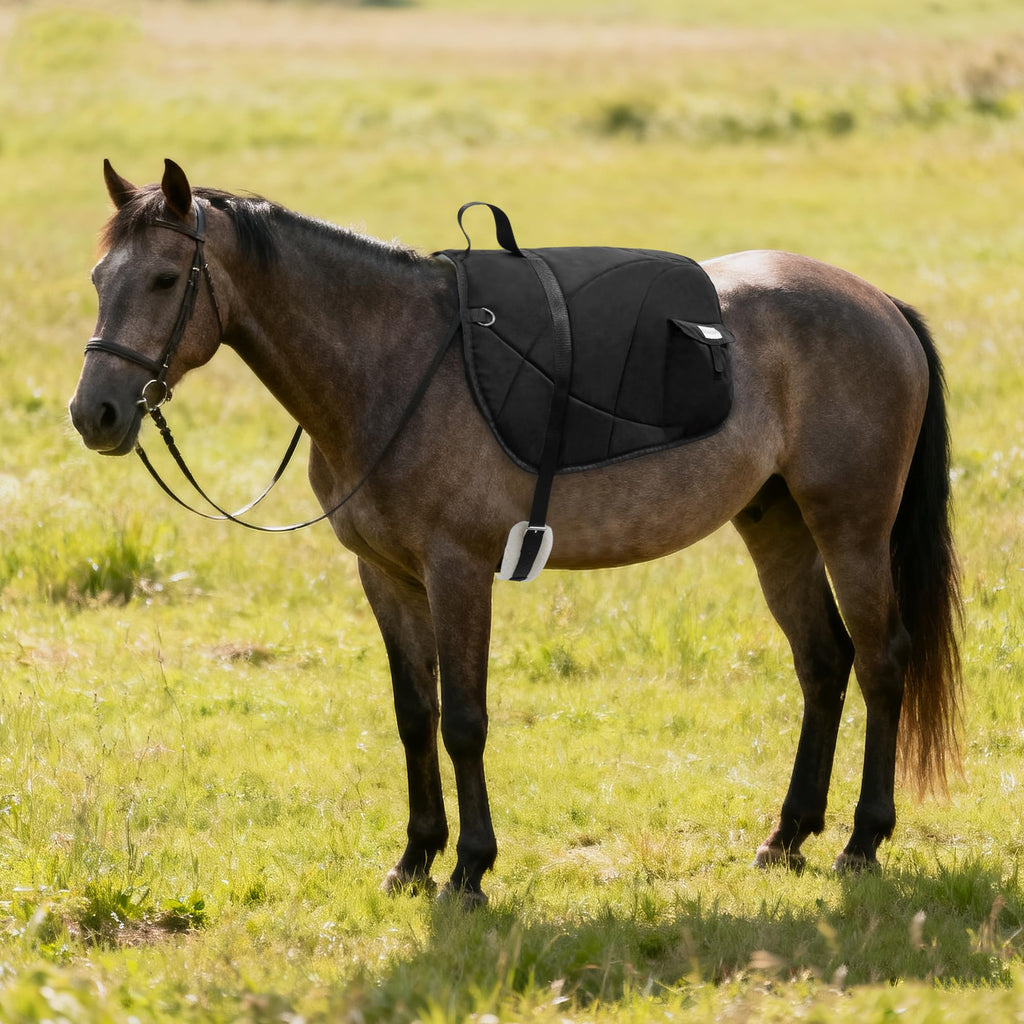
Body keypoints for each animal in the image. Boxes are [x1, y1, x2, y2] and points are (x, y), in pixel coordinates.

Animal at [69, 159, 963, 904]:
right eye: (99, 278)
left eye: (164, 278)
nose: (94, 413)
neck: (392, 364)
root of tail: (880, 305)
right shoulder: (387, 576)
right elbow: (414, 714)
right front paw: (415, 858)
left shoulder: (457, 570)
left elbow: (464, 720)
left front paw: (470, 868)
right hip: (776, 525)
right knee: (823, 663)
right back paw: (788, 836)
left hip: (850, 529)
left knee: (881, 662)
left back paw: (862, 841)